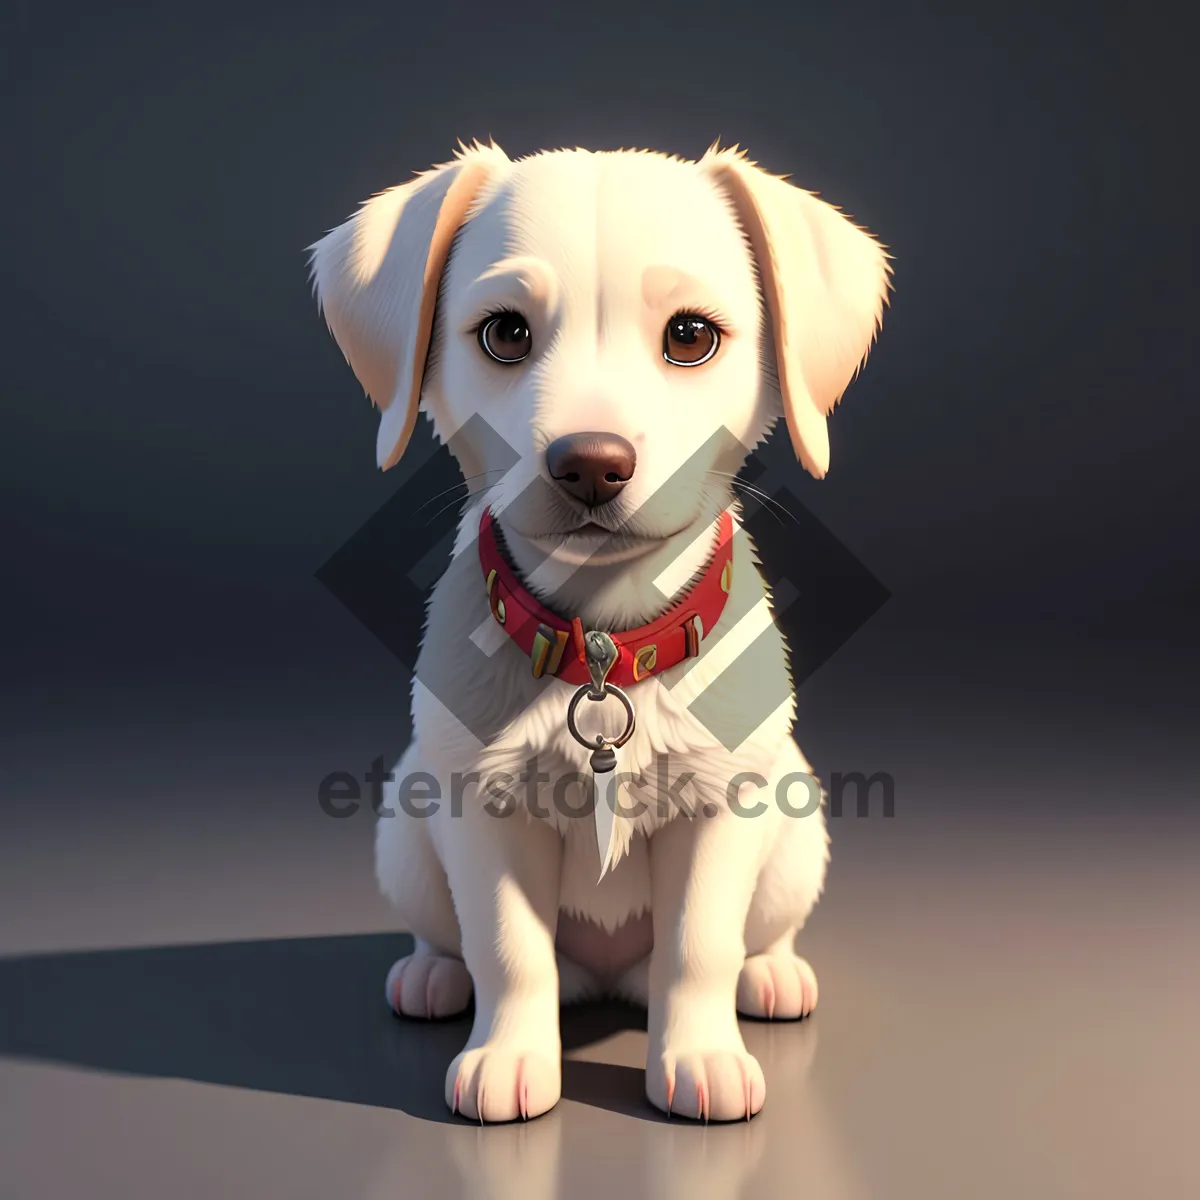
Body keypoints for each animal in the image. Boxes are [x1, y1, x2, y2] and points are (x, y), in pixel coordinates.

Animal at [312, 140, 892, 1123]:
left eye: (690, 336)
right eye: (505, 334)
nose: (590, 464)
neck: (606, 643)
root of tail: (612, 980)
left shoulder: (724, 808)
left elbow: (699, 948)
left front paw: (699, 1058)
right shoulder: (483, 811)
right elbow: (507, 948)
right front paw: (509, 1058)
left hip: (795, 831)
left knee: (737, 943)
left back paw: (770, 977)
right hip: (407, 835)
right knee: (458, 939)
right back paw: (433, 977)